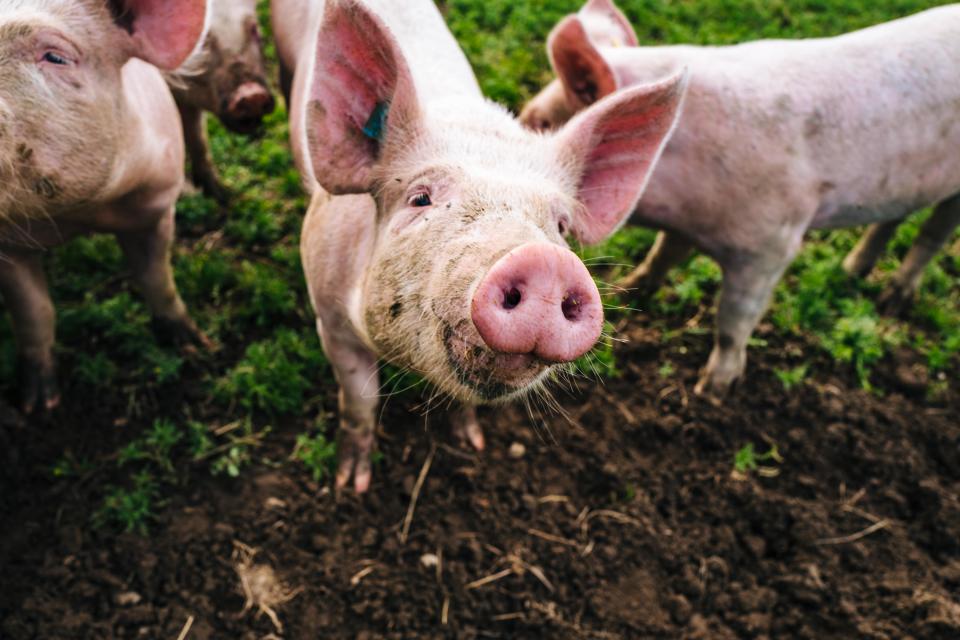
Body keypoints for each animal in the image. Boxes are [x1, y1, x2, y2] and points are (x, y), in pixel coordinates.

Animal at [0, 0, 212, 412]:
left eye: (55, 56)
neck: (79, 215)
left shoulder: (156, 204)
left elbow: (155, 276)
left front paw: (193, 347)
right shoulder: (10, 245)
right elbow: (33, 311)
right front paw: (37, 405)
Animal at [272, 0, 688, 492]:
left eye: (561, 226)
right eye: (420, 198)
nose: (546, 261)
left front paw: (472, 443)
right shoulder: (329, 318)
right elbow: (361, 399)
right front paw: (351, 484)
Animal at [520, 0, 960, 400]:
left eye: (540, 123)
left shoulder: (772, 244)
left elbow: (734, 319)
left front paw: (712, 390)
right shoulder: (686, 226)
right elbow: (663, 254)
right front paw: (630, 289)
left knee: (934, 233)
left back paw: (892, 300)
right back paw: (851, 271)